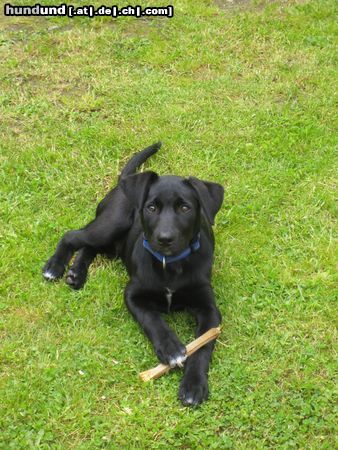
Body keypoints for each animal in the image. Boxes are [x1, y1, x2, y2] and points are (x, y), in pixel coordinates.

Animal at [43, 144, 224, 408]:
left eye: (185, 208)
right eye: (151, 208)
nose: (165, 239)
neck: (169, 265)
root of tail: (123, 182)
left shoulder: (209, 308)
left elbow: (202, 346)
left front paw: (193, 385)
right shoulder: (133, 294)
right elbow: (152, 320)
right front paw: (171, 349)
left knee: (90, 247)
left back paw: (76, 273)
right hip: (111, 223)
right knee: (73, 236)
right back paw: (55, 267)